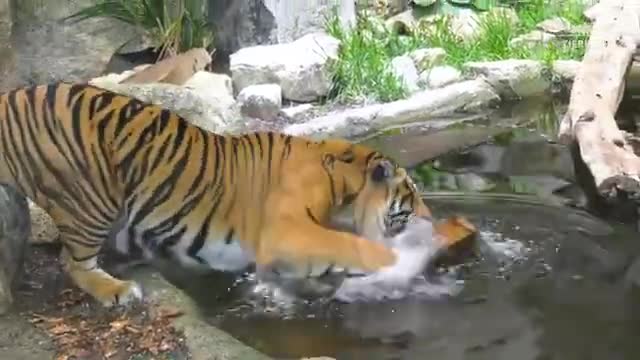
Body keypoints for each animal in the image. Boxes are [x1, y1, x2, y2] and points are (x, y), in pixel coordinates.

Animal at [0, 82, 470, 310]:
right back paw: (116, 289)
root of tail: (15, 94)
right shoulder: (286, 232)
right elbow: (347, 245)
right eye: (411, 195)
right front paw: (399, 261)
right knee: (71, 260)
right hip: (90, 194)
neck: (340, 186)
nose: (430, 217)